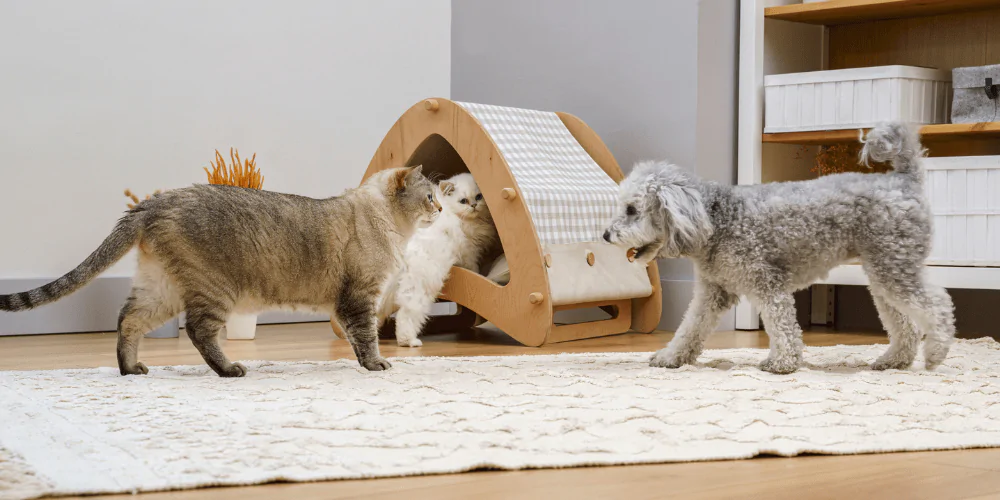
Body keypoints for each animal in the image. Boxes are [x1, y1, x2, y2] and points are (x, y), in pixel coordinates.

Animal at [0, 166, 438, 376]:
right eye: (430, 196)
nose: (440, 209)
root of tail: (153, 203)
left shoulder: (350, 302)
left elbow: (355, 339)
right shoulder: (360, 298)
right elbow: (366, 338)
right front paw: (376, 365)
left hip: (162, 291)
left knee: (127, 320)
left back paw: (131, 370)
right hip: (214, 291)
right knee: (198, 332)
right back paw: (229, 370)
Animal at [390, 174, 500, 346]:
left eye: (478, 197)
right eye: (463, 201)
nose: (474, 205)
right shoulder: (469, 252)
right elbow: (473, 269)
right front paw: (480, 275)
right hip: (421, 287)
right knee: (406, 315)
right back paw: (409, 341)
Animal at [604, 124, 956, 376]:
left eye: (632, 210)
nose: (606, 235)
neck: (718, 219)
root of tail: (903, 180)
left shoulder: (767, 283)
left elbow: (781, 324)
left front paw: (782, 363)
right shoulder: (713, 292)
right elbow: (690, 327)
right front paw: (671, 356)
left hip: (895, 267)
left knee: (938, 306)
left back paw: (936, 353)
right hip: (884, 273)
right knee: (905, 323)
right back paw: (894, 360)